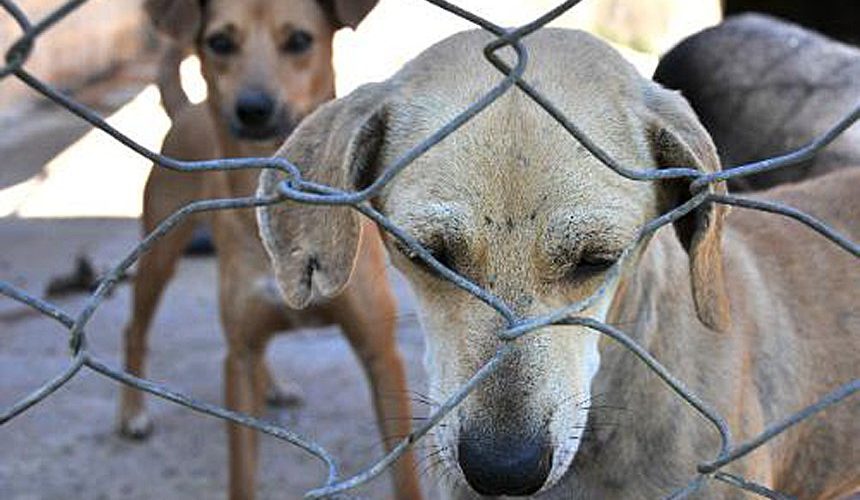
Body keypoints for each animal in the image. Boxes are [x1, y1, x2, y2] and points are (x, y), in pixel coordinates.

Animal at [117, 1, 420, 498]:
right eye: (220, 42)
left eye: (299, 40)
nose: (254, 108)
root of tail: (187, 110)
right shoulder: (237, 360)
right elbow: (242, 468)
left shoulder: (381, 351)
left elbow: (405, 469)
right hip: (159, 255)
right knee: (134, 330)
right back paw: (132, 413)